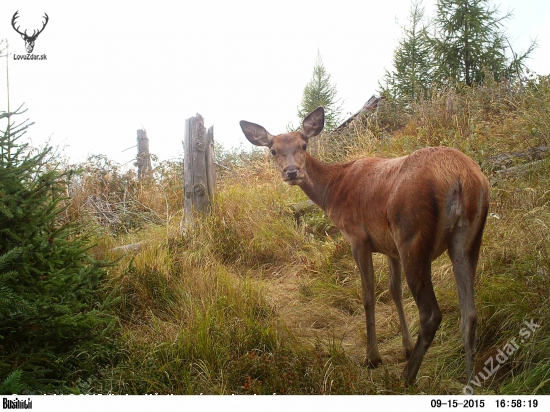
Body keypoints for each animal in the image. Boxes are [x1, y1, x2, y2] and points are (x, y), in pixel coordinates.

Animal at [242, 106, 492, 386]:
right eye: (273, 150)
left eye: (303, 145)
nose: (292, 172)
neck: (332, 191)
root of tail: (460, 177)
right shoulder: (390, 247)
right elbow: (394, 291)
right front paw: (405, 347)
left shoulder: (358, 237)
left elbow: (368, 295)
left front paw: (372, 357)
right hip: (468, 239)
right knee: (469, 314)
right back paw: (470, 380)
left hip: (412, 236)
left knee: (431, 314)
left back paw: (406, 377)